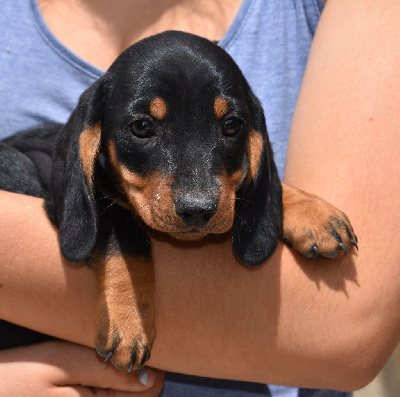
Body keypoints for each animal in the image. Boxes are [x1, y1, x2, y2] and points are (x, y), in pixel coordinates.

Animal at [0, 30, 356, 372]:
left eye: (231, 125)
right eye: (142, 126)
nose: (198, 210)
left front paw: (312, 212)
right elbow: (126, 238)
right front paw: (130, 322)